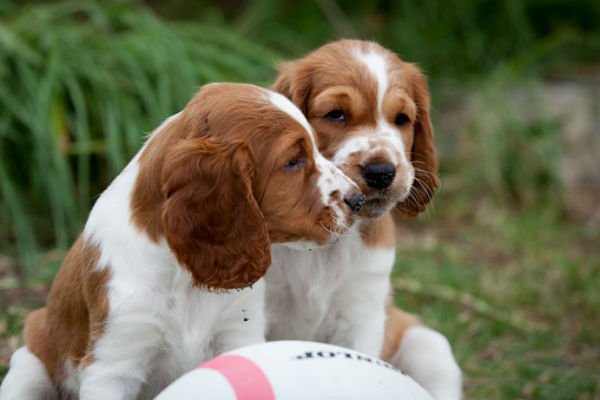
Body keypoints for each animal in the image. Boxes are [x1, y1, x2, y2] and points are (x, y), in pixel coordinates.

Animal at [0, 83, 364, 398]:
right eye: (293, 161)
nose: (359, 200)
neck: (183, 276)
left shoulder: (237, 333)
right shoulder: (114, 364)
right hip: (28, 365)